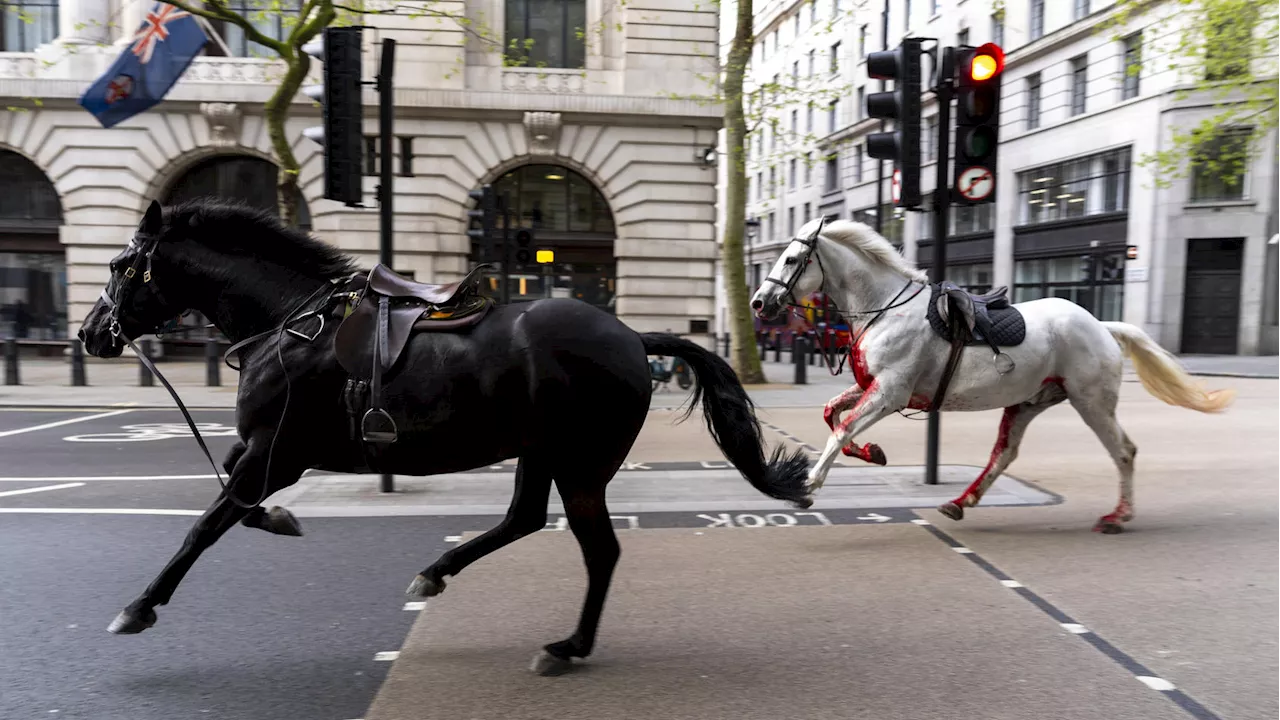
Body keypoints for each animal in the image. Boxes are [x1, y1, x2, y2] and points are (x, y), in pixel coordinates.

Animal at [77, 197, 808, 671]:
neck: (290, 324)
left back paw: (567, 646)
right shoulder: (263, 450)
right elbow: (236, 499)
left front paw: (139, 607)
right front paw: (282, 519)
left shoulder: (278, 452)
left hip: (580, 463)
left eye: (119, 266)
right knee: (523, 519)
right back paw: (437, 574)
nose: (87, 334)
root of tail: (631, 336)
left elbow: (207, 523)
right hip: (540, 452)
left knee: (599, 550)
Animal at [752, 215, 1233, 530]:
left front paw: (808, 486)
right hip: (1028, 402)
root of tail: (1101, 325)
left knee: (1124, 451)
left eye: (792, 259)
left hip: (1091, 402)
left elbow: (842, 428)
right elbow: (832, 414)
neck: (885, 308)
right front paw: (872, 452)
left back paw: (1119, 515)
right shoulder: (873, 386)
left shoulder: (890, 392)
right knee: (1005, 454)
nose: (759, 303)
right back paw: (961, 501)